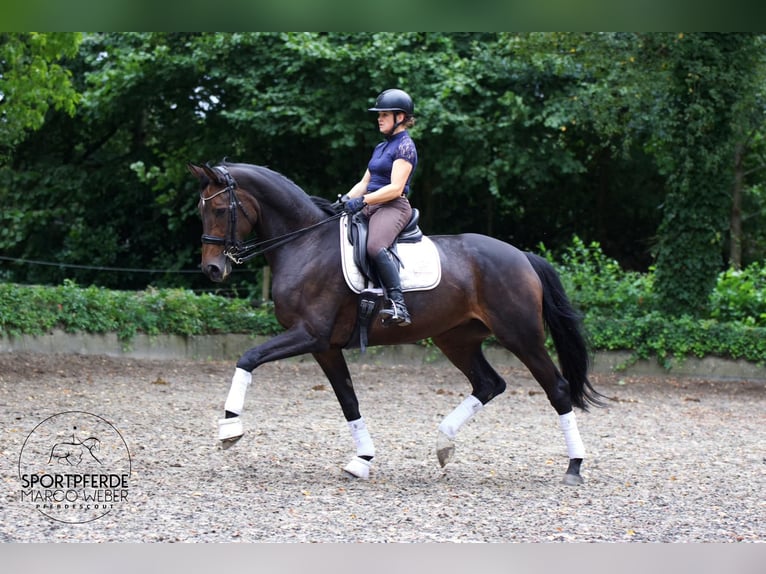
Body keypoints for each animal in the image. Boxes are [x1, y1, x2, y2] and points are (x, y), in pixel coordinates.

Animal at [189, 161, 604, 486]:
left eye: (221, 208)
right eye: (201, 210)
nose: (213, 270)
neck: (305, 245)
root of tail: (522, 256)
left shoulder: (309, 335)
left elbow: (248, 357)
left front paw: (230, 428)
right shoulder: (325, 347)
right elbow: (348, 401)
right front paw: (361, 460)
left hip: (521, 336)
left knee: (557, 389)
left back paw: (574, 466)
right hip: (456, 339)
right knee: (489, 383)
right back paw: (444, 443)